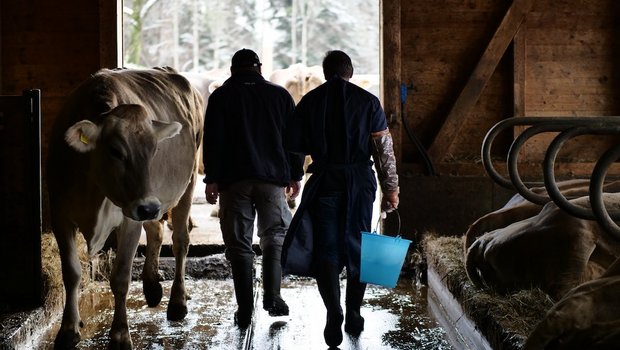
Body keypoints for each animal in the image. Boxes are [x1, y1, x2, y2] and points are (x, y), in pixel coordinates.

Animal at [49, 67, 203, 348]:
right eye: (115, 151)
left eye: (154, 151)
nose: (148, 208)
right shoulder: (60, 214)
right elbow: (71, 273)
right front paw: (68, 329)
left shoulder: (130, 220)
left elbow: (120, 277)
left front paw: (120, 334)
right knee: (156, 232)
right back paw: (152, 287)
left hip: (186, 186)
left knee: (180, 241)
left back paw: (177, 301)